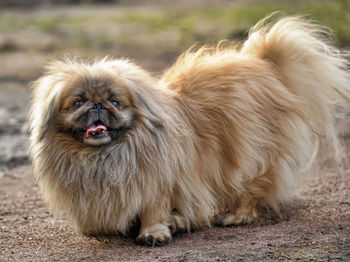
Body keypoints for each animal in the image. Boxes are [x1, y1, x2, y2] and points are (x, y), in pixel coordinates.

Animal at [28, 15, 350, 246]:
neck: (105, 156)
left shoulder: (158, 183)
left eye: (115, 102)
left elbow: (154, 210)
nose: (97, 105)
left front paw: (154, 233)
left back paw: (236, 216)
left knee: (251, 188)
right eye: (78, 102)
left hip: (248, 156)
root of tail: (264, 63)